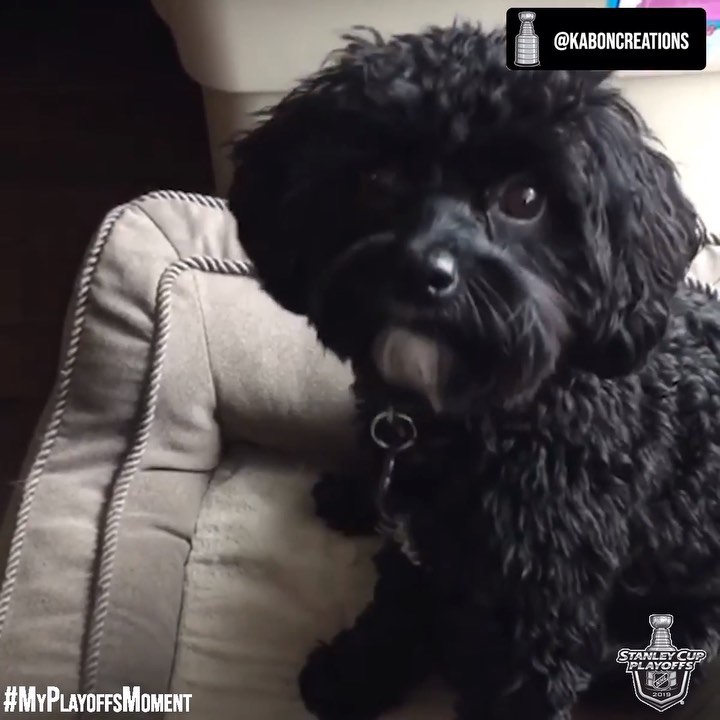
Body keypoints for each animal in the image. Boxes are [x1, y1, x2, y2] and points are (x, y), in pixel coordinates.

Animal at [227, 23, 720, 720]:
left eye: (526, 198)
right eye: (377, 178)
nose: (420, 271)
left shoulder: (536, 617)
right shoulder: (416, 545)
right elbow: (398, 600)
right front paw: (354, 672)